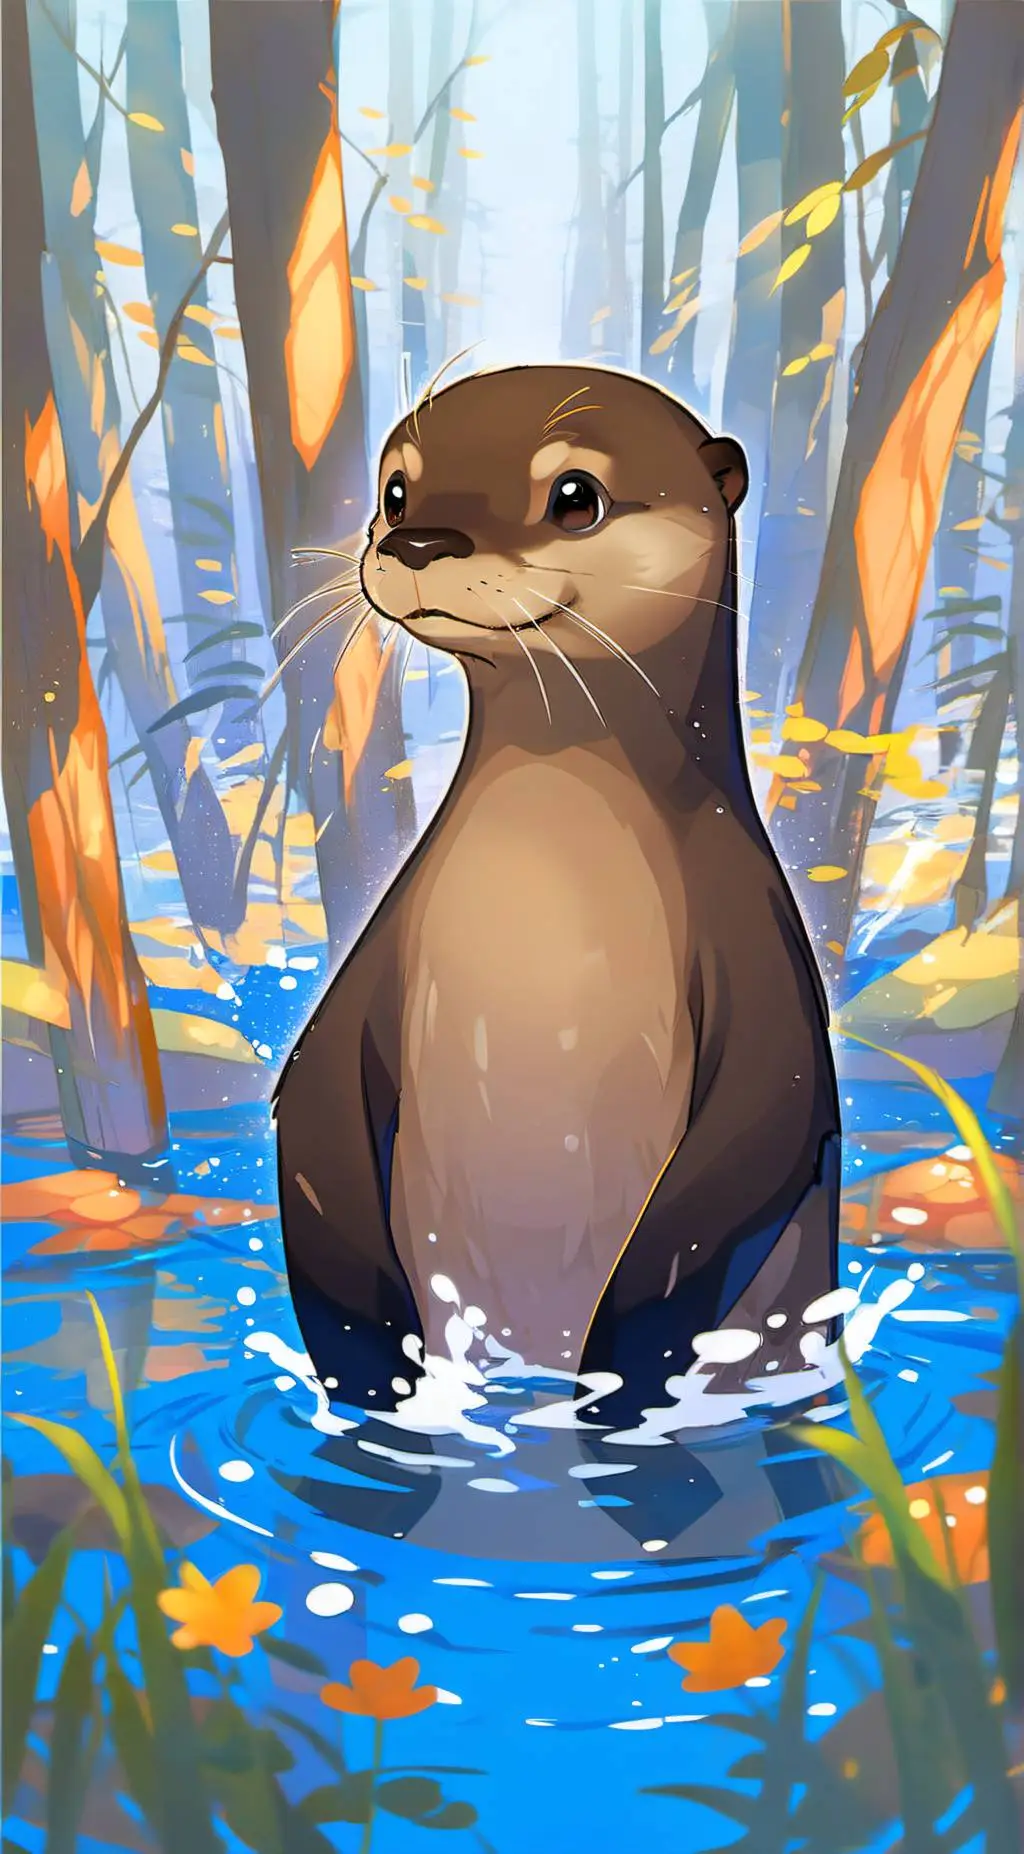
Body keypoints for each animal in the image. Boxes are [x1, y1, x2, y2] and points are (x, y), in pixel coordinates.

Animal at [274, 363, 841, 1427]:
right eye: (397, 490)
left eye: (575, 495)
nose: (416, 541)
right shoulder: (369, 974)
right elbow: (311, 1115)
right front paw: (377, 1364)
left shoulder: (768, 977)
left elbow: (751, 1150)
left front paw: (615, 1384)